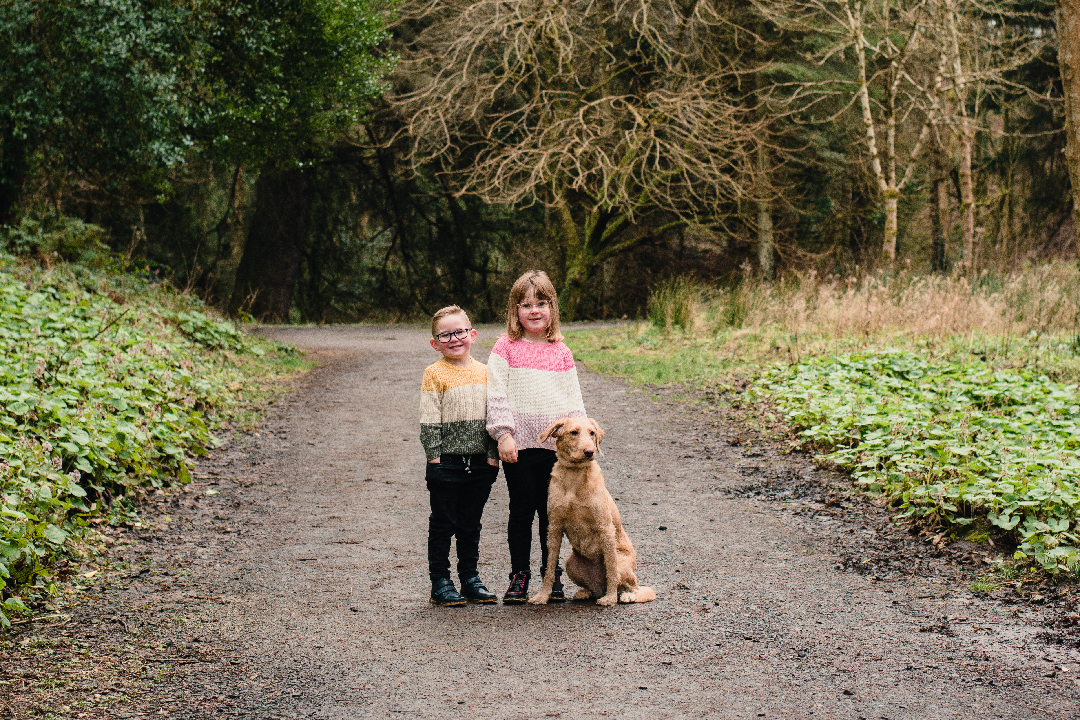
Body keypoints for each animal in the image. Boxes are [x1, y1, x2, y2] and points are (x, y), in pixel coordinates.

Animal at [527, 416, 652, 608]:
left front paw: (610, 599)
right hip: (571, 563)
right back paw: (586, 592)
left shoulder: (605, 527)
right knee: (595, 588)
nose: (589, 452)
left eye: (592, 433)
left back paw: (624, 595)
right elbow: (550, 568)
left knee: (634, 587)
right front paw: (542, 596)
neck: (574, 477)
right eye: (574, 432)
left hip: (622, 562)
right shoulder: (554, 528)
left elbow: (611, 570)